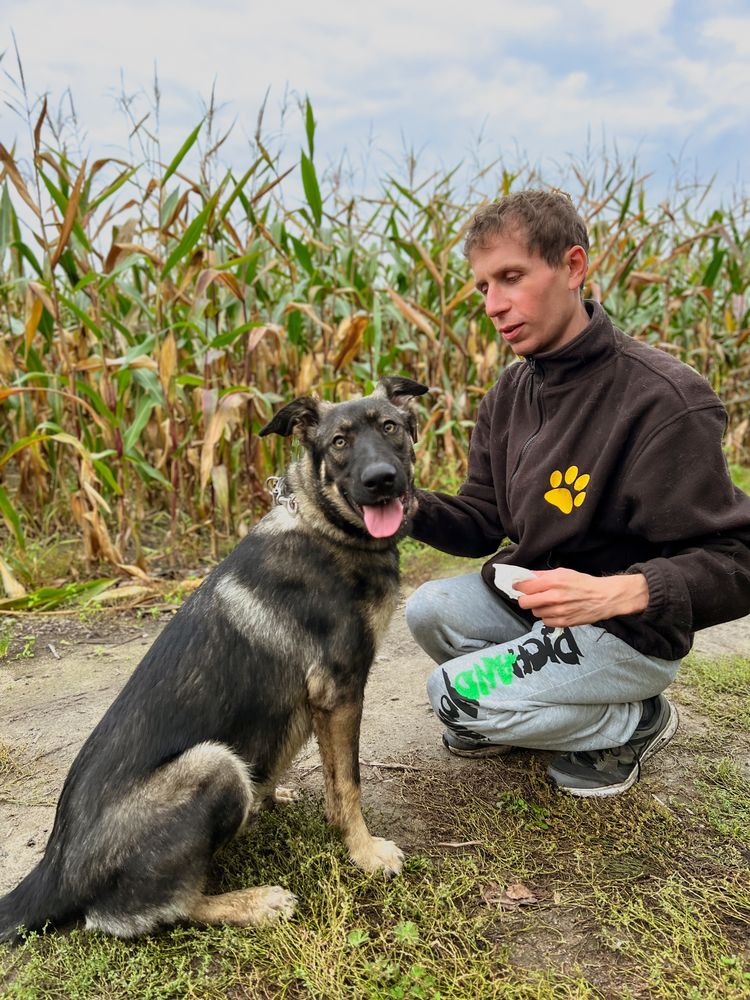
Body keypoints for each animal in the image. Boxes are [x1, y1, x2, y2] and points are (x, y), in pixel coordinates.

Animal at [0, 374, 428, 936]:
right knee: (143, 911)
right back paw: (253, 903)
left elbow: (313, 770)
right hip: (215, 764)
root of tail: (55, 869)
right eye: (339, 442)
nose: (382, 481)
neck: (322, 525)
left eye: (391, 428)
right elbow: (348, 786)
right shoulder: (339, 691)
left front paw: (277, 797)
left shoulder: (315, 704)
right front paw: (365, 852)